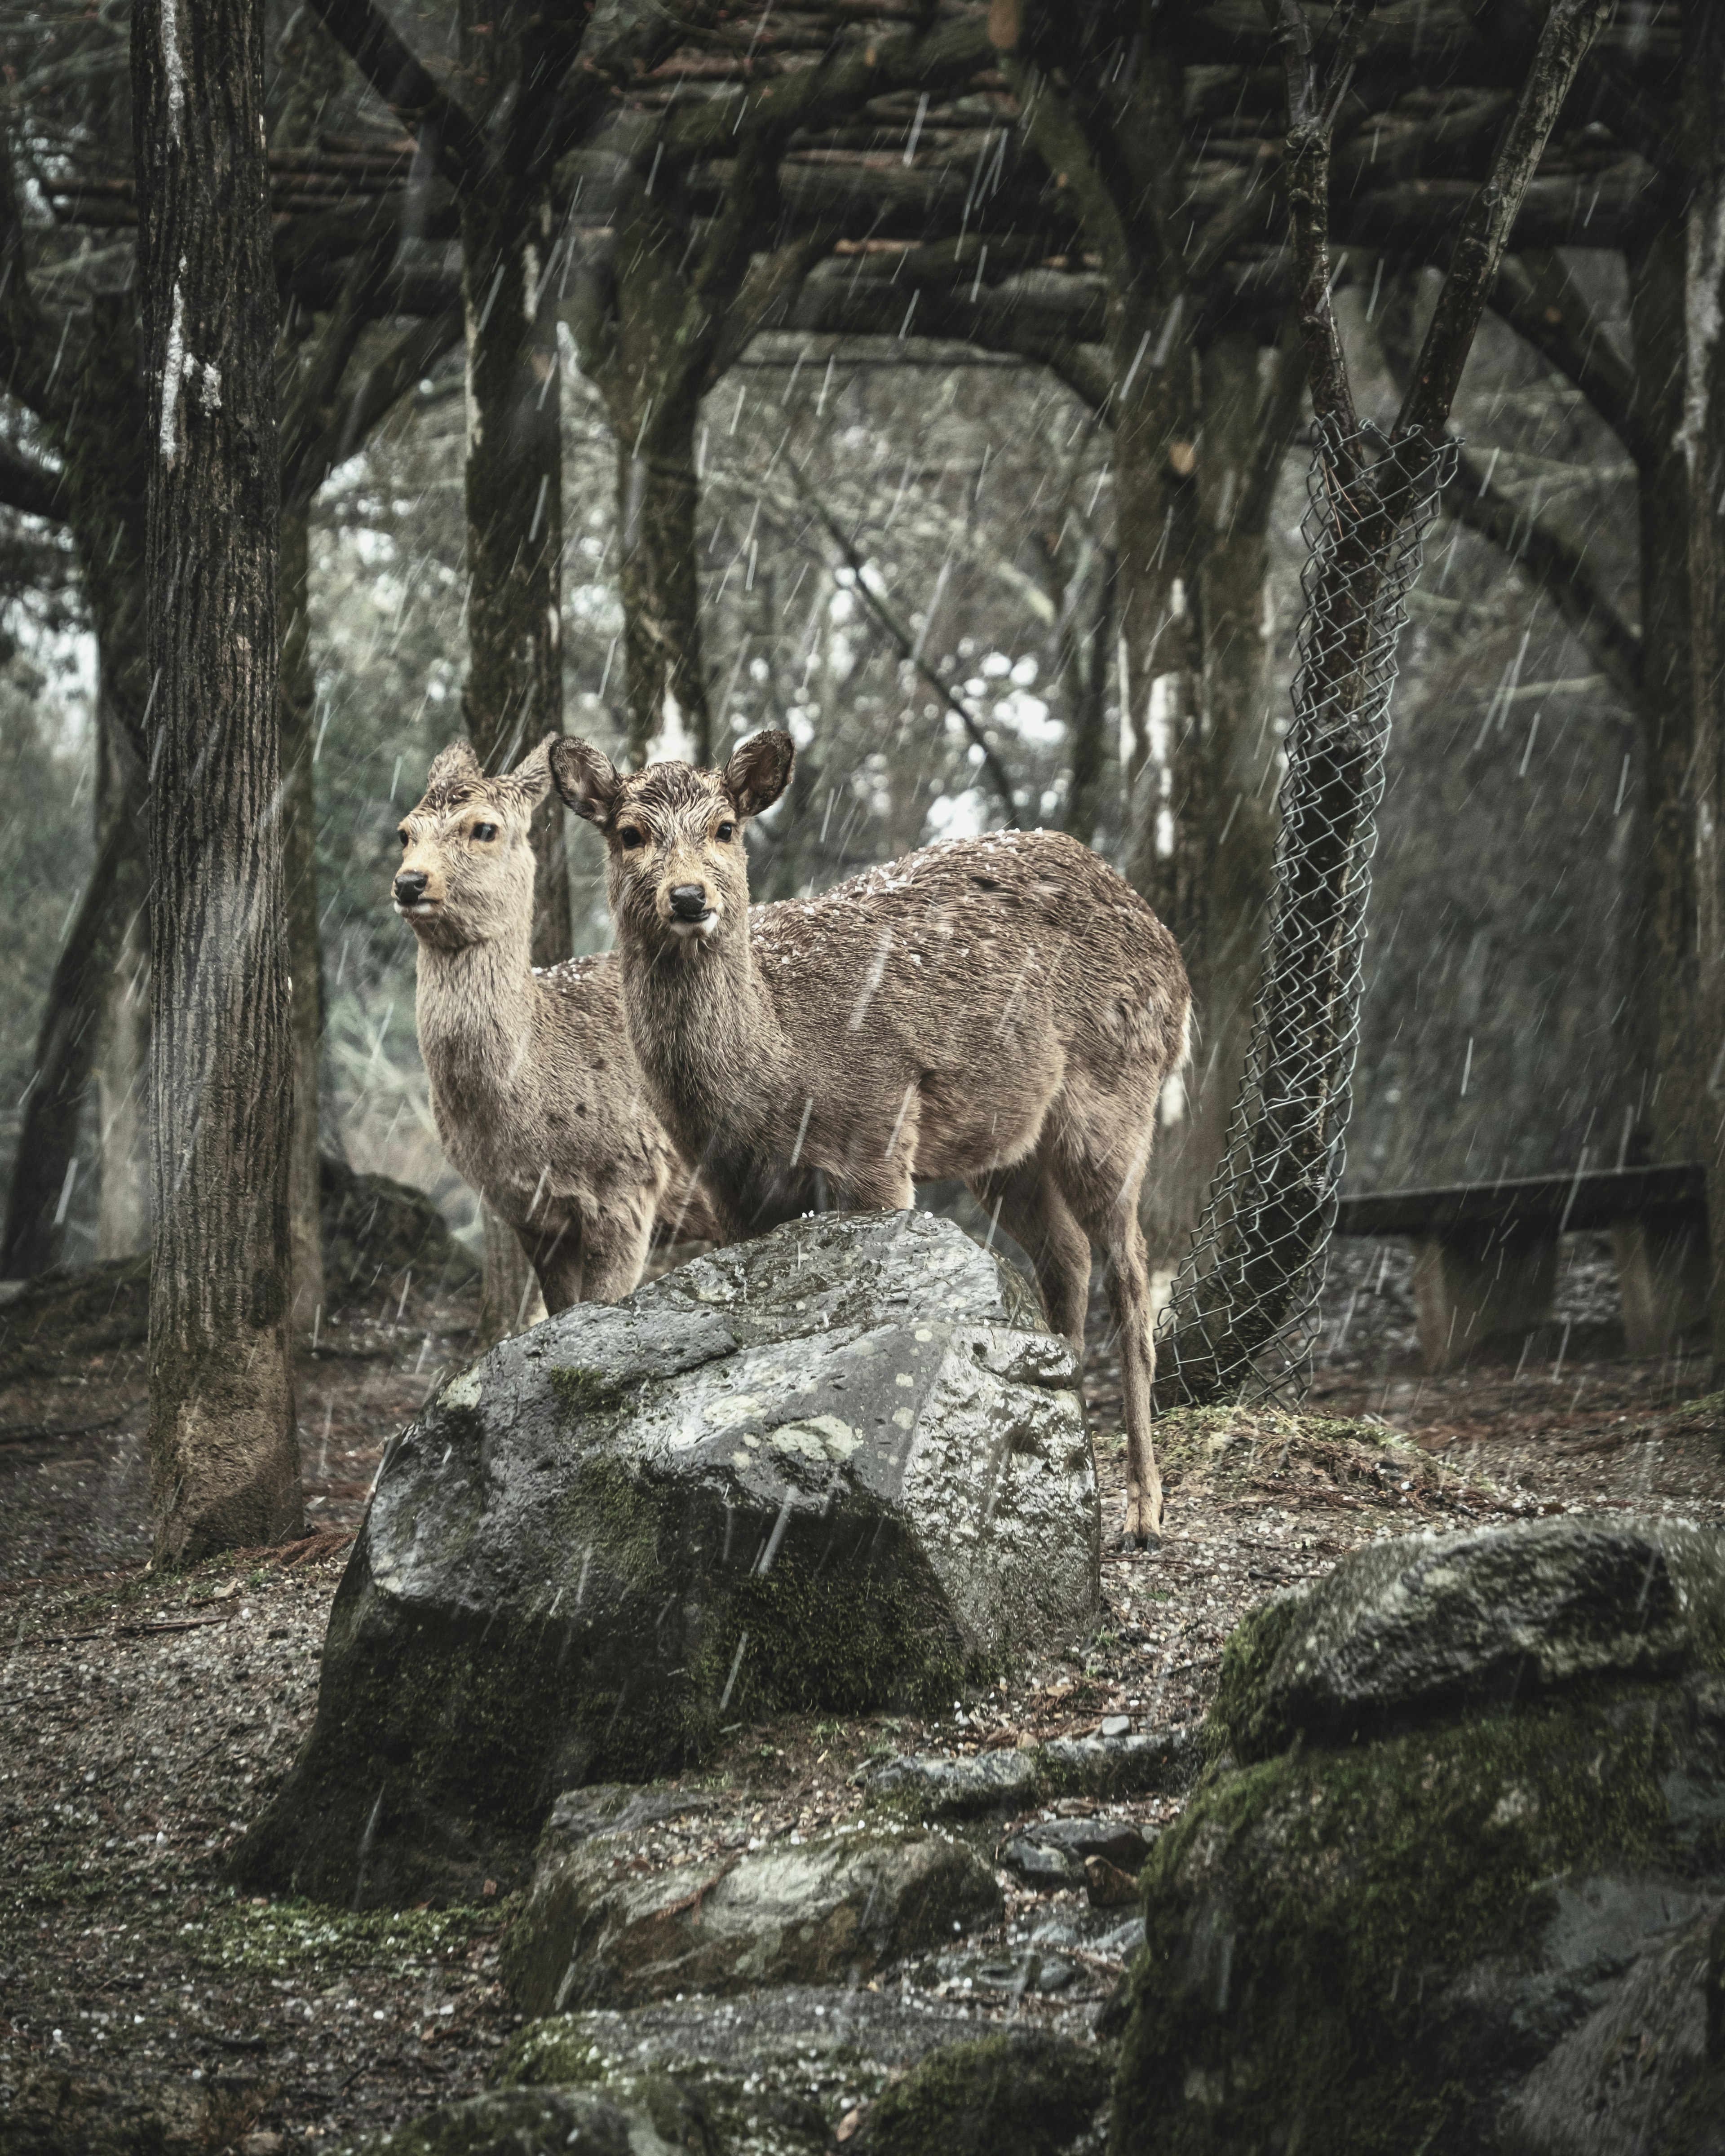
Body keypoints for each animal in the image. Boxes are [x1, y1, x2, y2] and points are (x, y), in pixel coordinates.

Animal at [550, 733, 1190, 1543]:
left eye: (725, 828)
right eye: (629, 834)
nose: (690, 898)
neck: (777, 1063)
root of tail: (1170, 949)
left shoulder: (876, 1130)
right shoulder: (730, 1185)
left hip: (1114, 1097)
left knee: (1130, 1268)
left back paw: (1142, 1511)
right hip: (1006, 1142)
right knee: (1068, 1257)